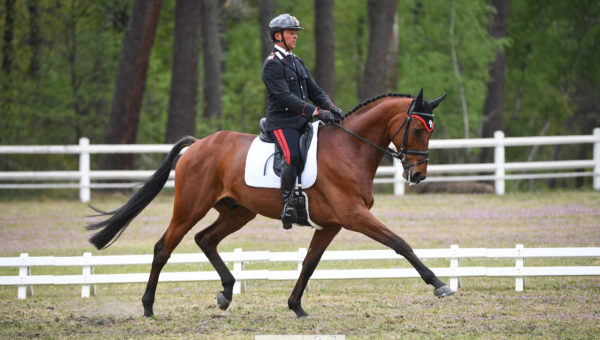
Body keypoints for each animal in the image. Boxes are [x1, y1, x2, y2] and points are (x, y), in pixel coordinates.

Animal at [85, 89, 454, 318]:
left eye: (430, 131)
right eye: (418, 130)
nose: (417, 175)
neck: (350, 148)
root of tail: (199, 144)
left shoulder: (332, 224)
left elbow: (309, 263)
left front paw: (296, 306)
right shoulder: (353, 216)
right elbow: (399, 243)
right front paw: (440, 285)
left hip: (238, 212)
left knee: (205, 239)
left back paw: (226, 293)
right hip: (190, 207)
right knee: (164, 247)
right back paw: (148, 307)